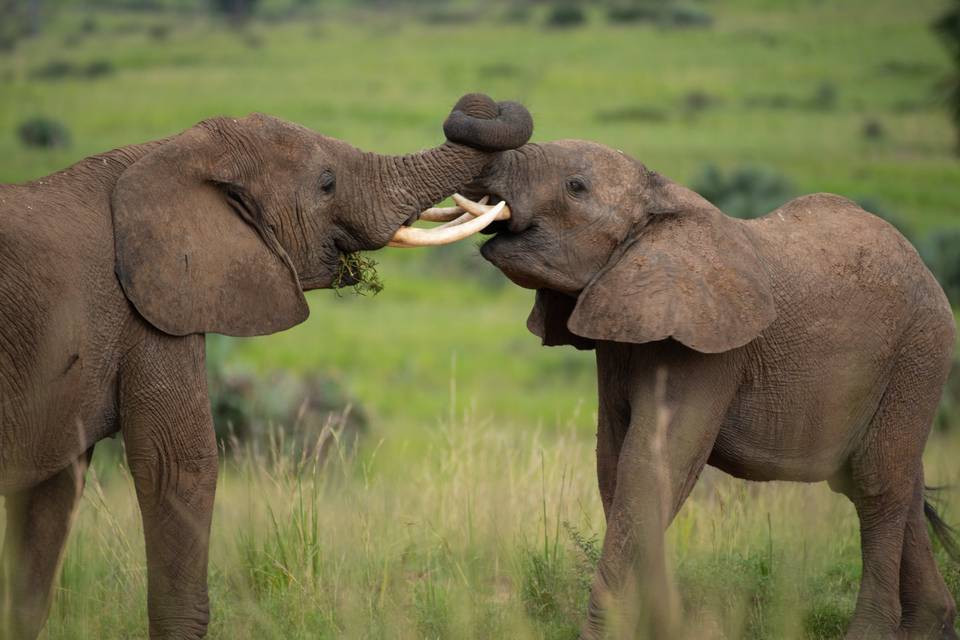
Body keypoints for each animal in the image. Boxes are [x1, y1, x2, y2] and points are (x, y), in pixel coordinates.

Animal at [0, 93, 532, 639]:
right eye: (326, 183)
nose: (480, 101)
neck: (170, 152)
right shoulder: (149, 310)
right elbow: (178, 467)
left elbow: (50, 502)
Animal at [466, 139, 959, 639]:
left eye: (575, 187)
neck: (661, 200)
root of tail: (923, 265)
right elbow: (616, 466)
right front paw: (662, 626)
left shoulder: (709, 351)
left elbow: (649, 468)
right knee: (895, 482)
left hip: (920, 351)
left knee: (878, 486)